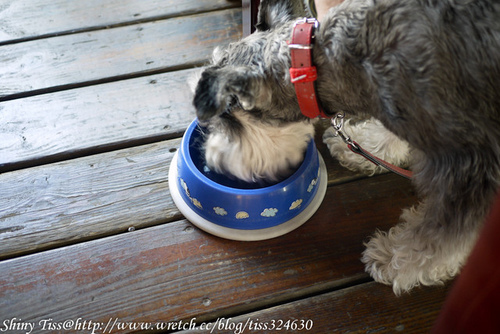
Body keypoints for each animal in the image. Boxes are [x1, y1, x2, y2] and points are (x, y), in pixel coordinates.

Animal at [192, 0, 500, 294]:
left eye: (227, 116)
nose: (210, 158)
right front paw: (369, 148)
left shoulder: (470, 170)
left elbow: (441, 238)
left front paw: (397, 260)